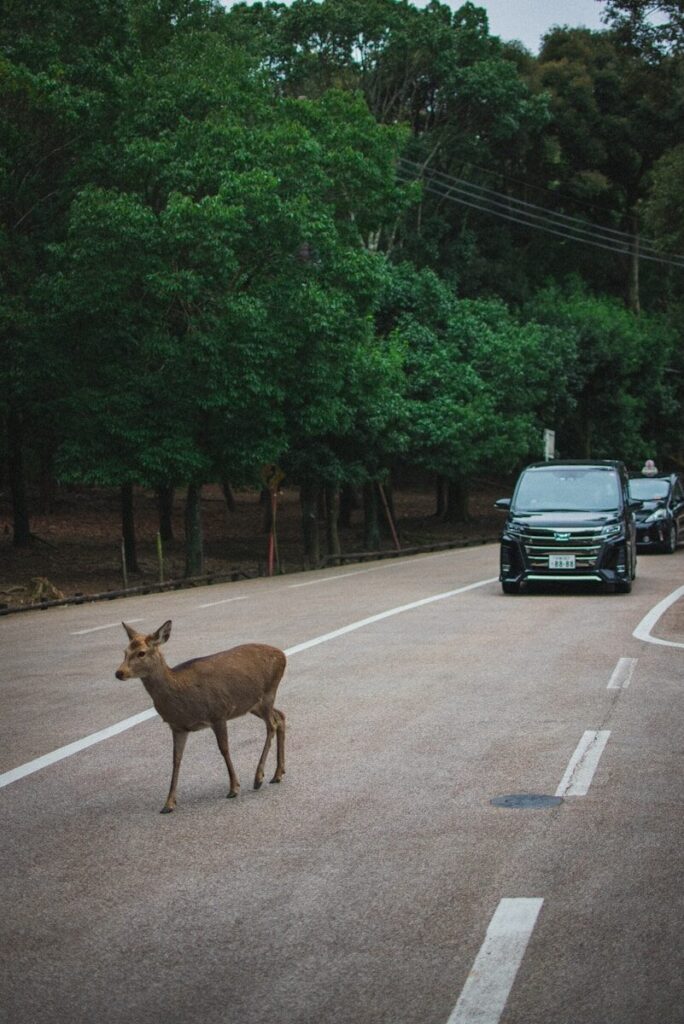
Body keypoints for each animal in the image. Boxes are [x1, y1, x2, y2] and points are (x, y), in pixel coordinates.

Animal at [115, 620, 286, 814]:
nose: (119, 673)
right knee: (280, 716)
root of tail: (282, 655)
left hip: (268, 693)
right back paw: (278, 773)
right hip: (253, 704)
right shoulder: (178, 727)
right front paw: (168, 803)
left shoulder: (218, 712)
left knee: (271, 725)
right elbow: (176, 759)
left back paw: (258, 778)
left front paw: (234, 788)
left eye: (141, 652)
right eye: (125, 652)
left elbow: (224, 749)